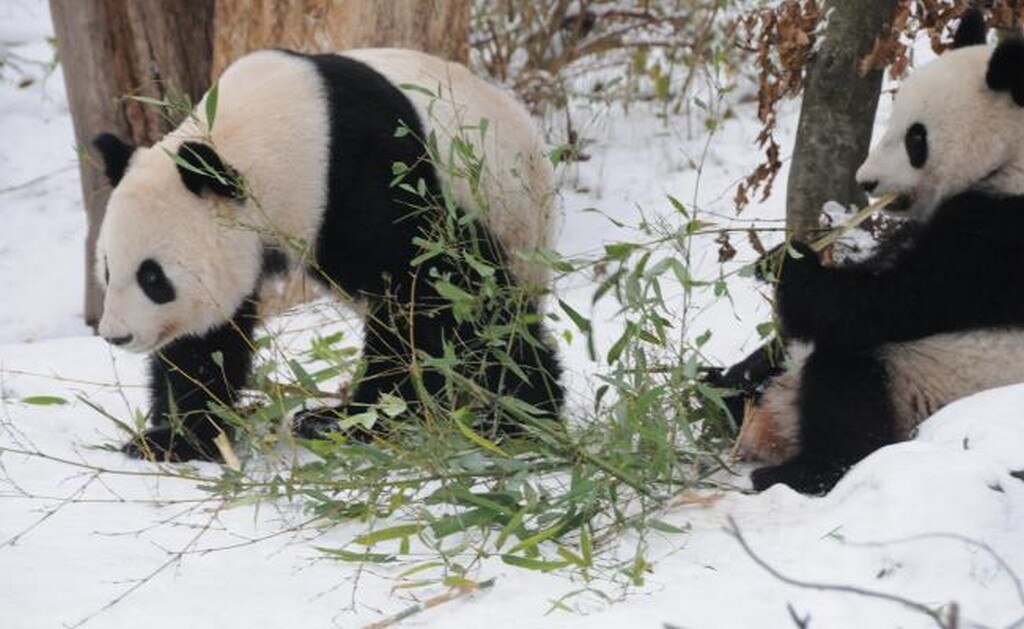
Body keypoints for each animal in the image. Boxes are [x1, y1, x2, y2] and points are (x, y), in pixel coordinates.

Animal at [92, 48, 563, 462]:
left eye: (152, 278)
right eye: (108, 270)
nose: (117, 335)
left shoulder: (369, 173)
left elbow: (430, 290)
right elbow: (205, 344)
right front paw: (175, 439)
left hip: (507, 218)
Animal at [737, 11, 1024, 494]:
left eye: (915, 138)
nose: (866, 181)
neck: (1011, 162)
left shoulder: (997, 238)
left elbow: (885, 302)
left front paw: (791, 264)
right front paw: (774, 259)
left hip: (926, 380)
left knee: (847, 378)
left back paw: (799, 471)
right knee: (773, 356)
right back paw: (711, 390)